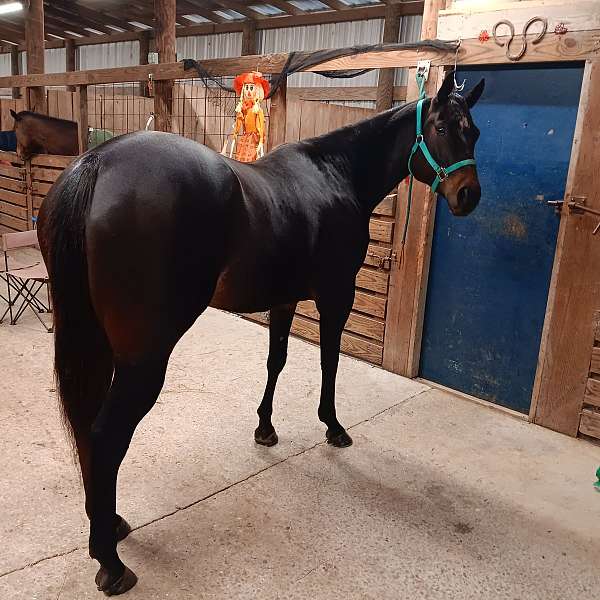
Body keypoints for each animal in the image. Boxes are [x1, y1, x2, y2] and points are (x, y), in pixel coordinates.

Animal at [36, 71, 482, 596]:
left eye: (474, 132)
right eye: (441, 127)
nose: (468, 195)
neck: (334, 174)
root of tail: (96, 163)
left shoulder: (284, 300)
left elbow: (277, 360)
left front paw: (265, 427)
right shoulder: (336, 296)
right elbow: (329, 360)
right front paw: (333, 426)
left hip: (99, 345)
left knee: (87, 429)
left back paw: (110, 525)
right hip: (143, 359)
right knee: (106, 437)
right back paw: (110, 561)